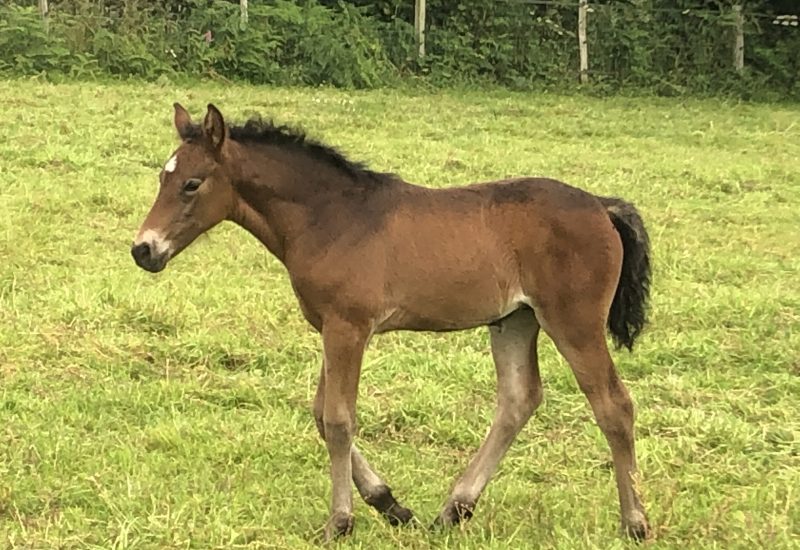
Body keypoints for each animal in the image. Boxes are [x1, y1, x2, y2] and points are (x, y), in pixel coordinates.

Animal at [131, 103, 652, 544]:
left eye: (192, 184)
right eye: (161, 177)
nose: (143, 250)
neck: (332, 218)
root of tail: (601, 206)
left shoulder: (349, 327)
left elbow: (339, 419)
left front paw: (340, 523)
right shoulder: (330, 327)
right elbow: (321, 413)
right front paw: (391, 505)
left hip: (573, 321)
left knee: (614, 405)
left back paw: (635, 522)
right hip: (514, 320)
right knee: (518, 399)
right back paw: (454, 509)